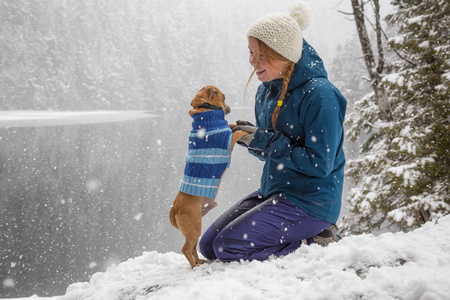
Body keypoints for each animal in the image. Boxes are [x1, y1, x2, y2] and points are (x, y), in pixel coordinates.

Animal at [168, 85, 246, 268]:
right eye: (224, 97)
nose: (229, 109)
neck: (205, 110)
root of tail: (175, 207)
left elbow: (232, 126)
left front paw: (239, 124)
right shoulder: (227, 145)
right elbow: (236, 134)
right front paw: (244, 131)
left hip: (195, 228)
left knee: (192, 248)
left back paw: (199, 261)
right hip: (194, 228)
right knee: (186, 249)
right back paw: (194, 265)